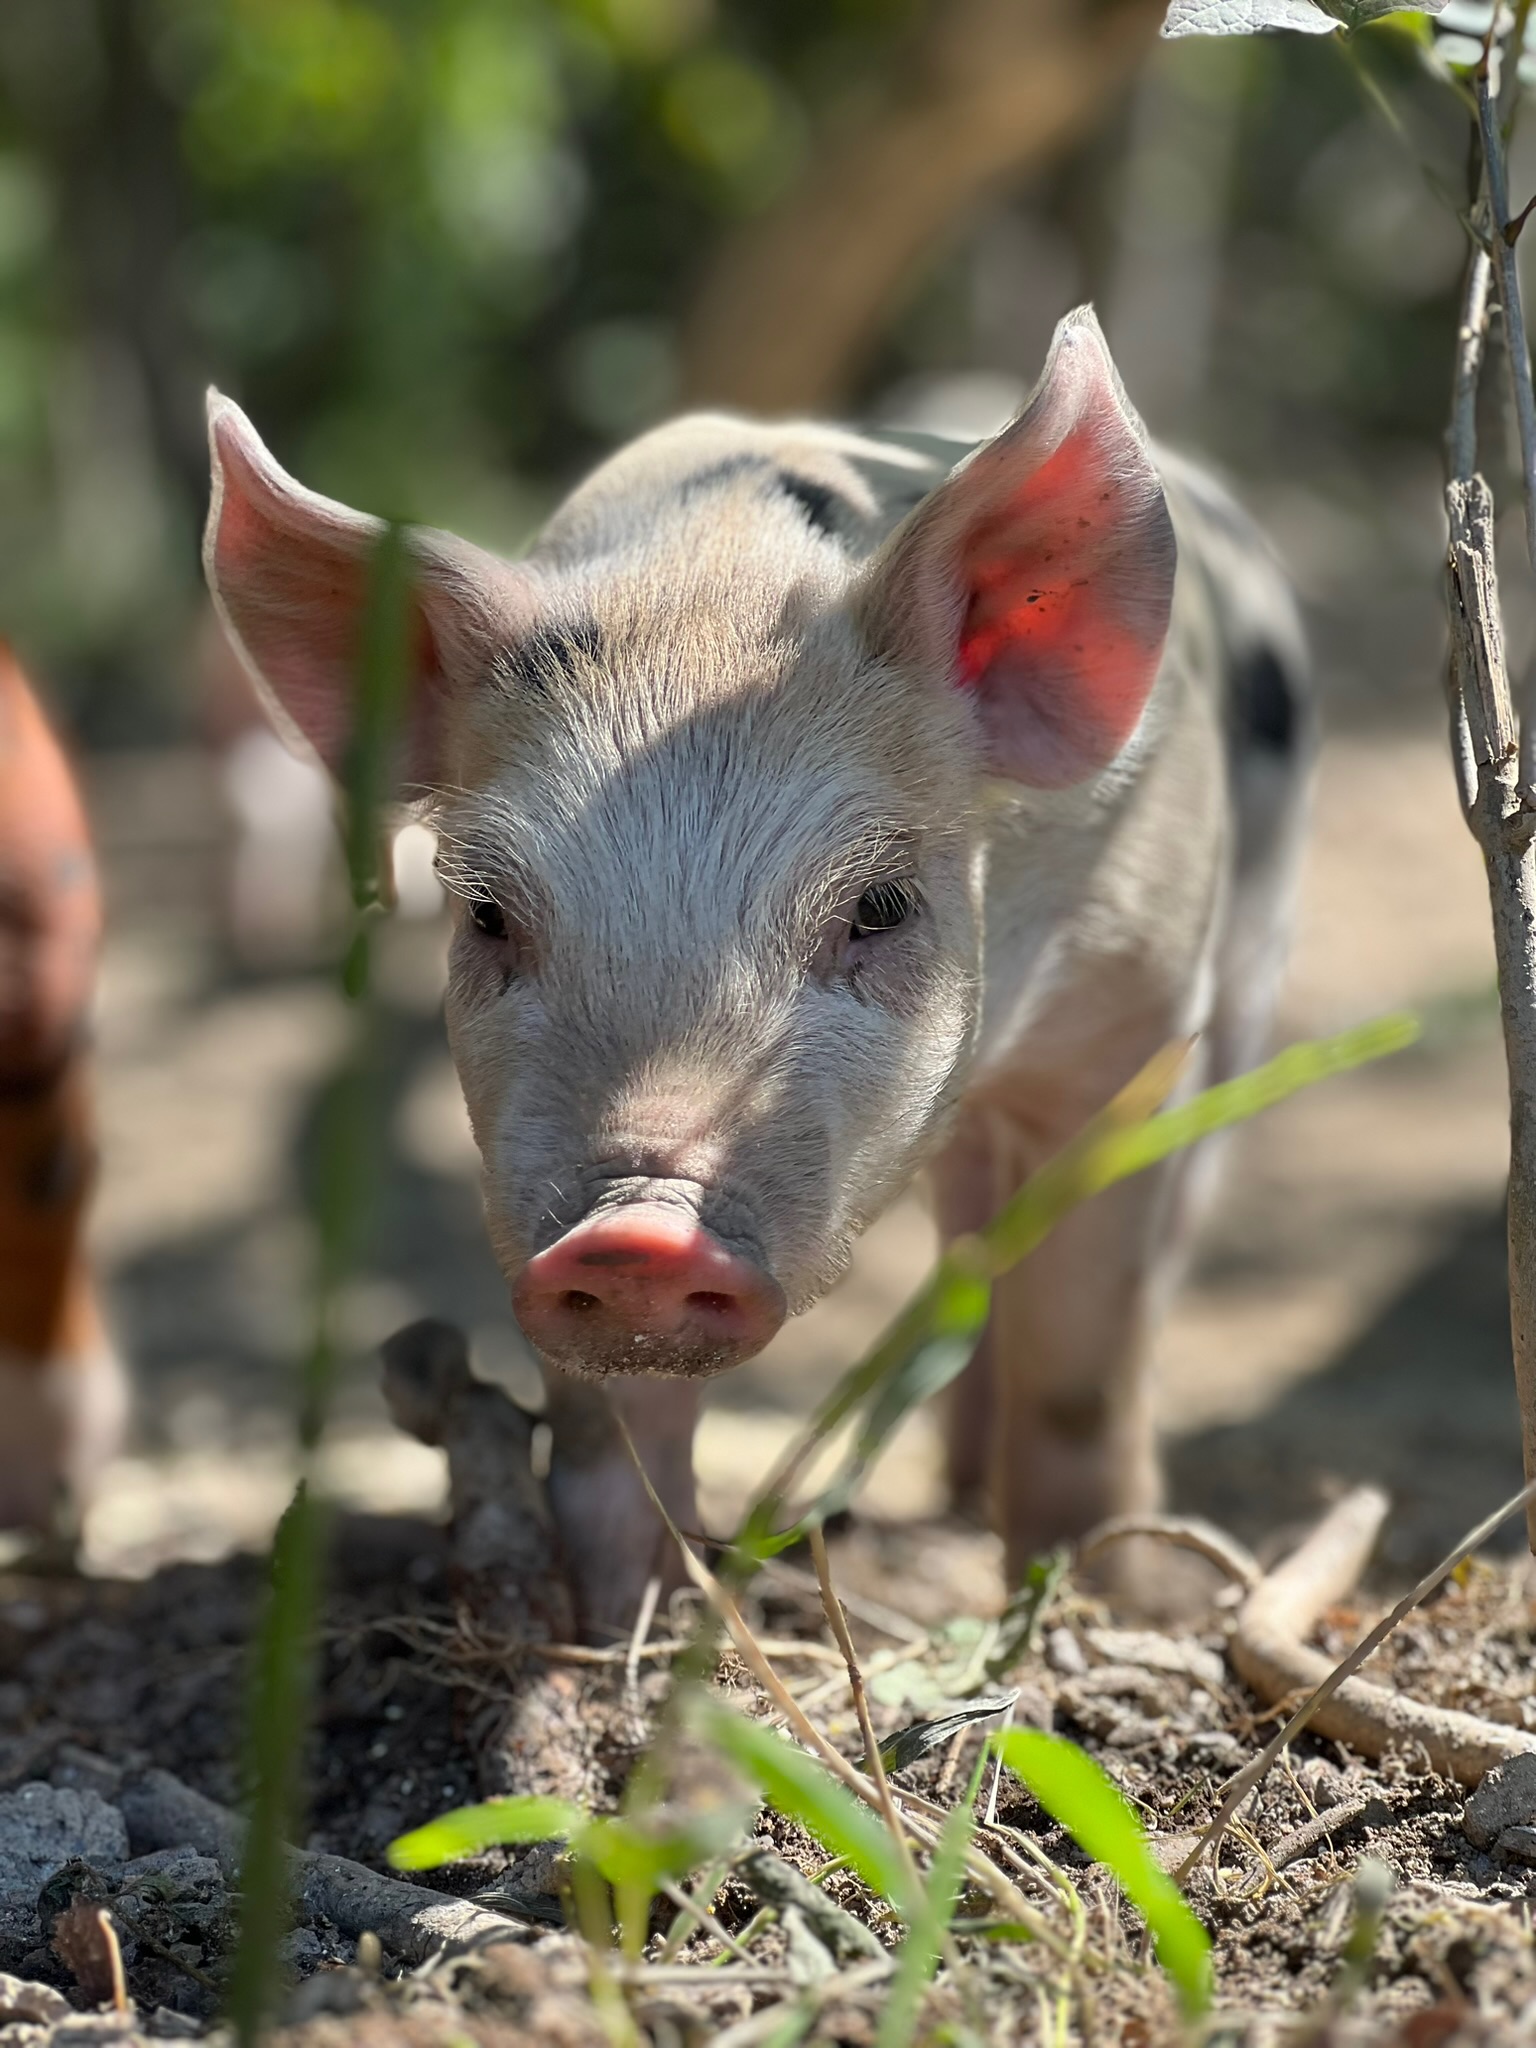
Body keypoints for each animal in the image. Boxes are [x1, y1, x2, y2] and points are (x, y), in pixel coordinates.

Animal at [203, 308, 1312, 1638]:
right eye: (486, 913)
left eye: (878, 905)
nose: (634, 1232)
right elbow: (610, 1424)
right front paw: (626, 1619)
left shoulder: (1131, 1007)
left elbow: (1083, 1360)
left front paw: (1104, 1603)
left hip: (1246, 976)